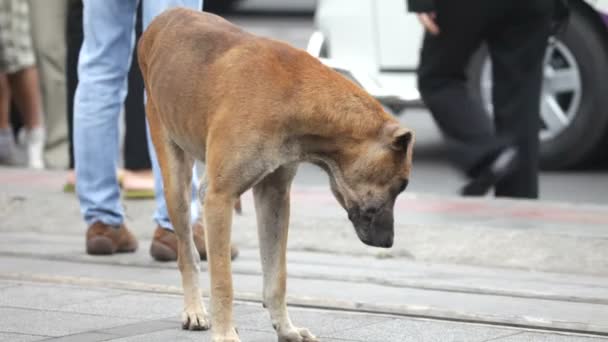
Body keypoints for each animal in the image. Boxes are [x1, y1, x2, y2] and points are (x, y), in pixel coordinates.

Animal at [138, 7, 414, 342]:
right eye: (401, 185)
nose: (388, 242)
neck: (294, 95)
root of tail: (162, 19)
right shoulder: (218, 198)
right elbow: (223, 279)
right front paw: (224, 332)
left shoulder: (275, 197)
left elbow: (276, 275)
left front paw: (285, 329)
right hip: (175, 183)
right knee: (187, 252)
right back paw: (195, 310)